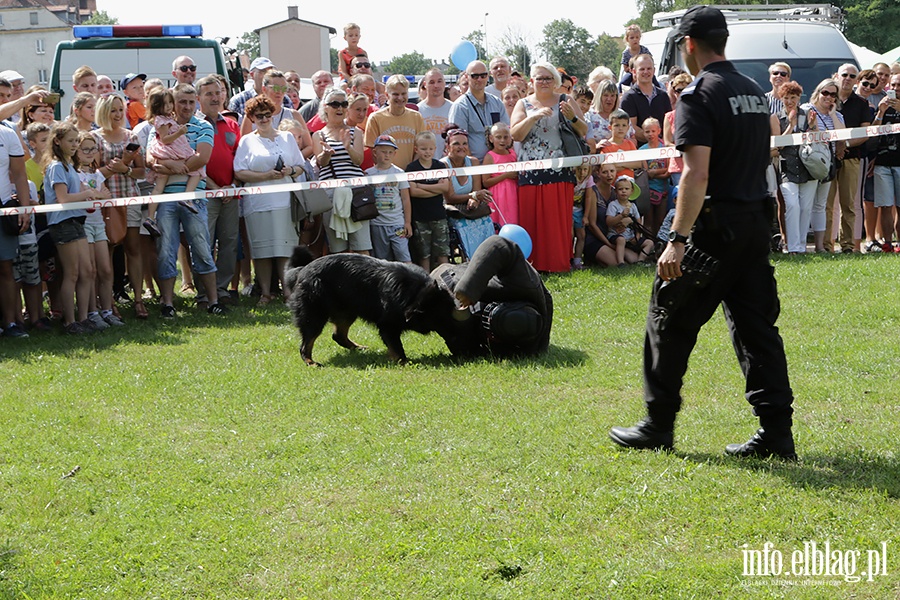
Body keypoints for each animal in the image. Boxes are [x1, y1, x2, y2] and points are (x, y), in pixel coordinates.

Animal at [286, 245, 458, 366]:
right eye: (444, 317)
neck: (415, 292)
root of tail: (301, 270)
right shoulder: (388, 326)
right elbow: (397, 348)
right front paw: (404, 362)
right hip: (314, 315)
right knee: (306, 343)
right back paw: (310, 362)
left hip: (347, 312)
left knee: (338, 336)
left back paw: (358, 348)